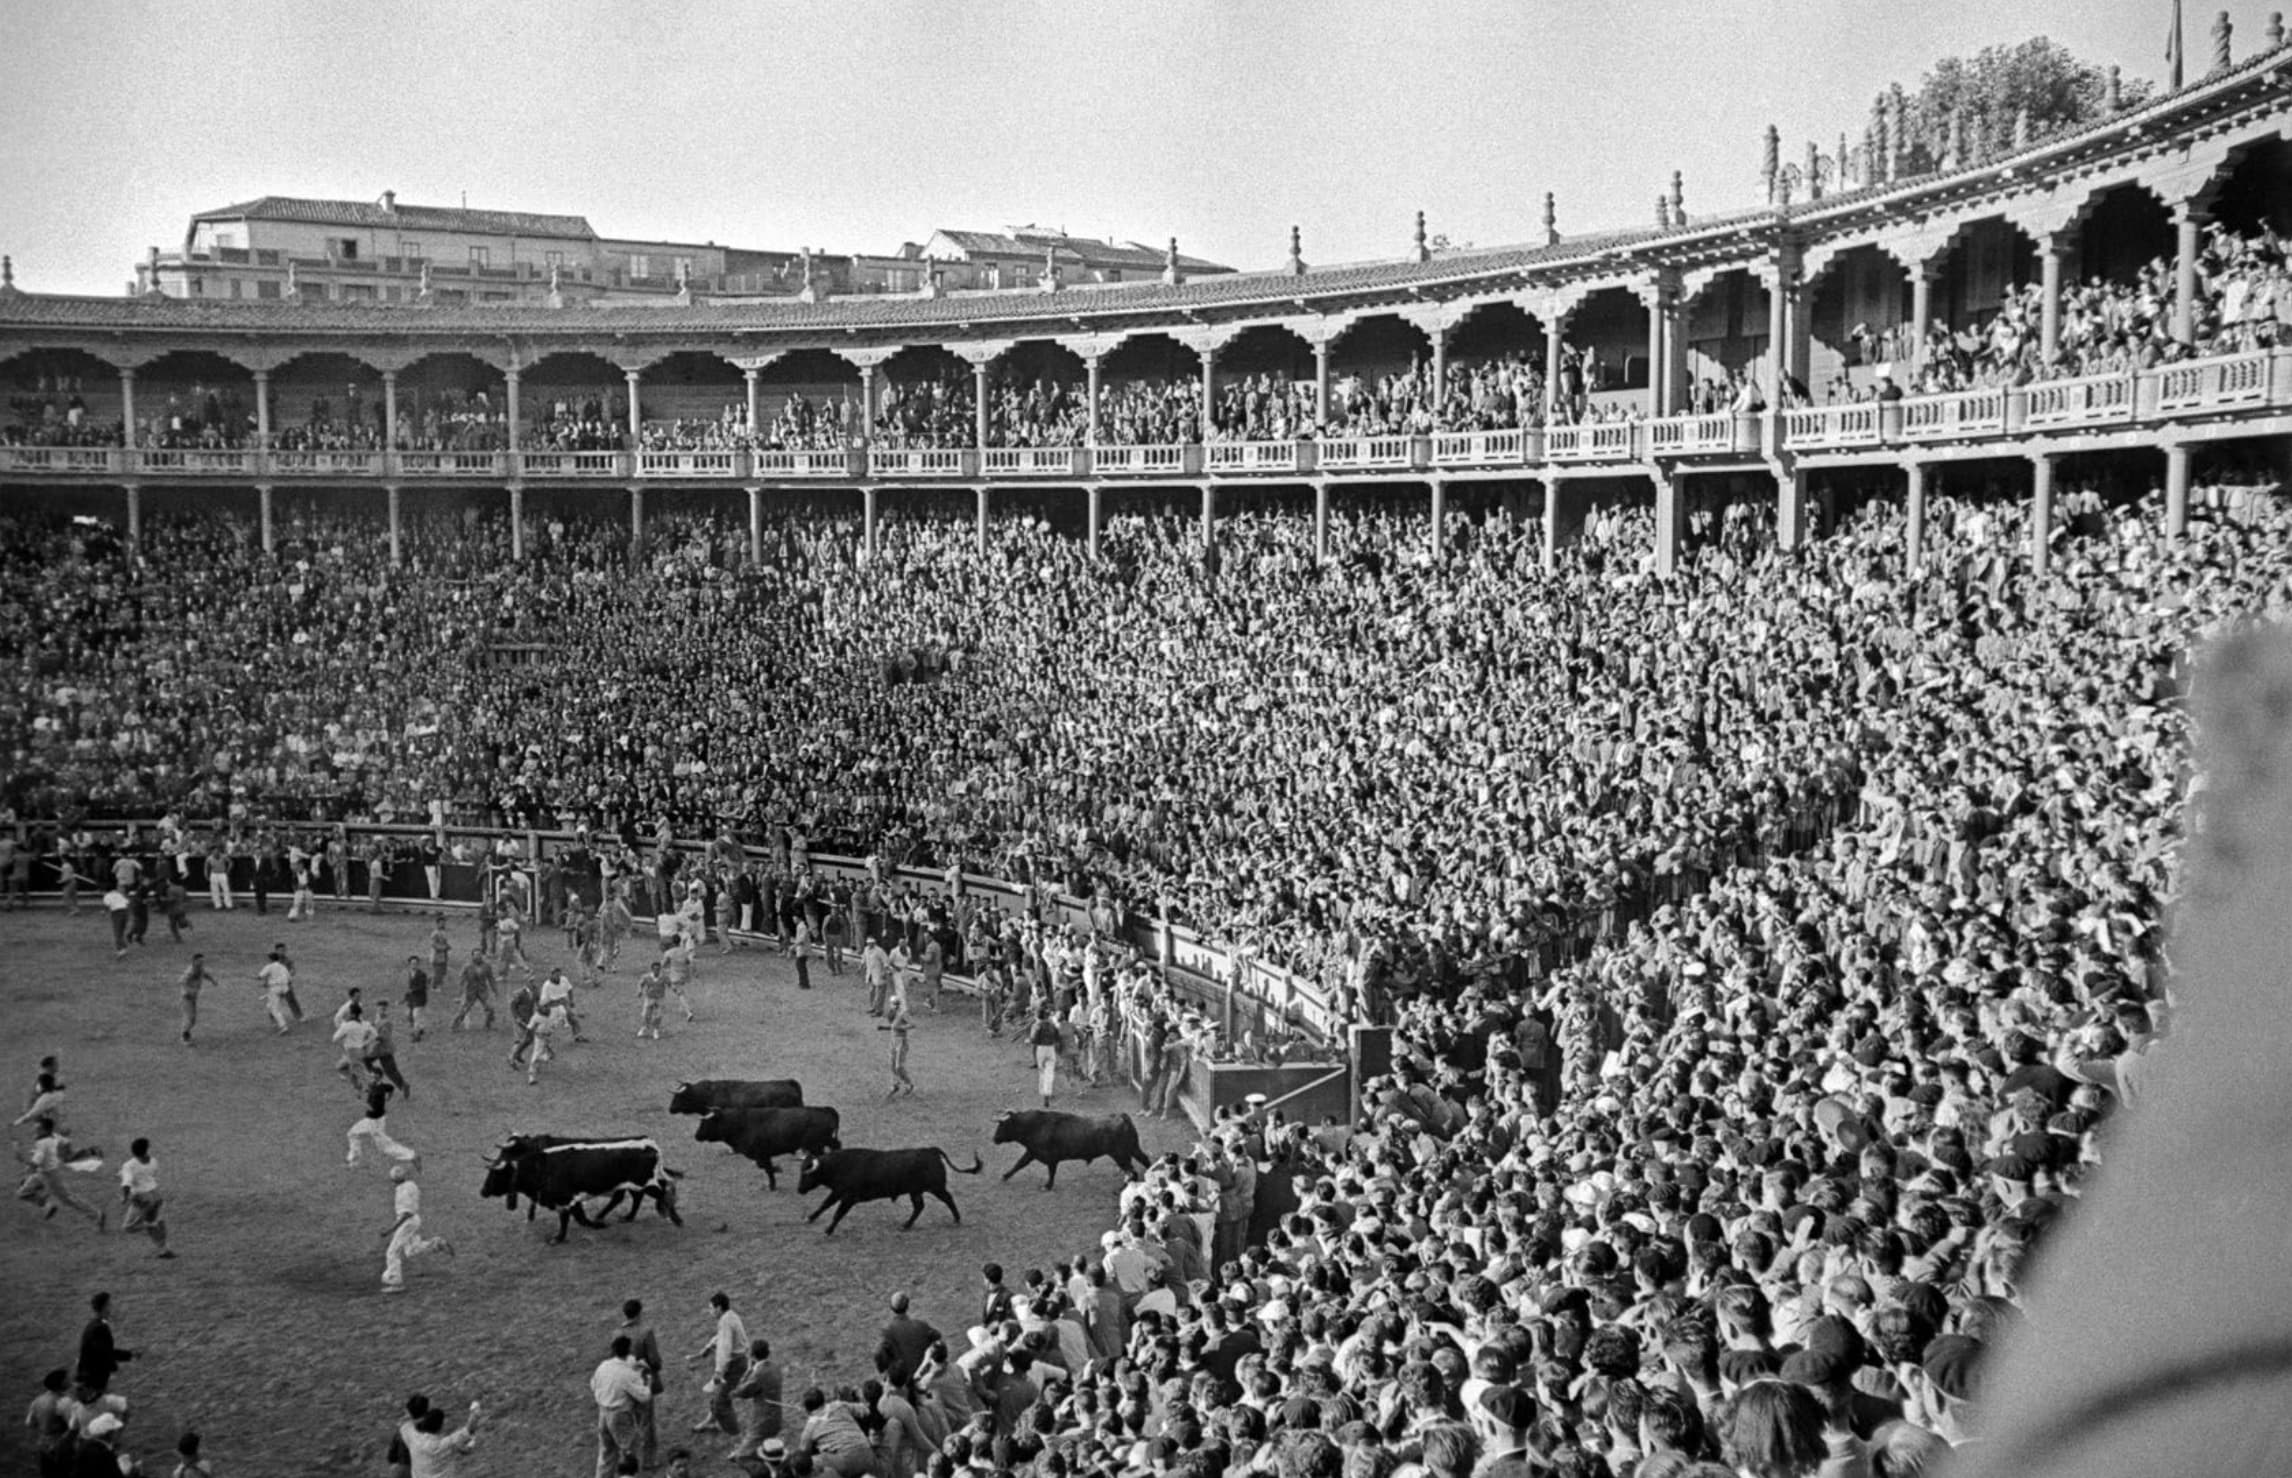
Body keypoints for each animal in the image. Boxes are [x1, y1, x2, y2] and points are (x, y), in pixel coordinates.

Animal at [479, 1136, 683, 1237]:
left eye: (495, 1174)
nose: (483, 1192)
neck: (541, 1165)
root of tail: (648, 1144)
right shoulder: (566, 1200)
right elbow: (574, 1218)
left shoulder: (565, 1199)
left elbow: (574, 1218)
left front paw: (560, 1237)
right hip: (640, 1184)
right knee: (642, 1196)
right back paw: (628, 1217)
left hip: (646, 1183)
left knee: (662, 1193)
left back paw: (676, 1219)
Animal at [696, 1109, 852, 1191]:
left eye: (706, 1123)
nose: (696, 1136)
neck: (740, 1124)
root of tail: (826, 1110)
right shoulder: (763, 1155)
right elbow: (766, 1168)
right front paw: (773, 1181)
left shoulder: (761, 1154)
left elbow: (767, 1168)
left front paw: (774, 1179)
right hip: (825, 1141)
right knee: (837, 1145)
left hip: (816, 1145)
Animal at [793, 1141, 980, 1237]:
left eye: (806, 1174)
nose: (799, 1190)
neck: (840, 1166)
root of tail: (930, 1150)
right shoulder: (837, 1192)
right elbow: (824, 1205)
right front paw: (810, 1218)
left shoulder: (848, 1197)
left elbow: (838, 1213)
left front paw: (828, 1230)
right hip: (916, 1191)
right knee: (919, 1207)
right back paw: (906, 1225)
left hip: (936, 1187)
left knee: (948, 1199)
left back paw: (956, 1219)